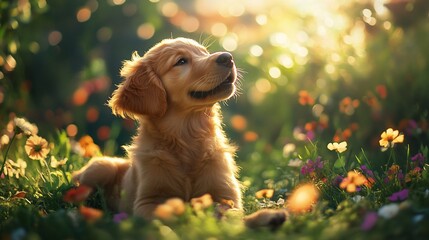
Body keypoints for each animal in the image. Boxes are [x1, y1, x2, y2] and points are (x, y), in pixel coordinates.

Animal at [73, 37, 286, 227]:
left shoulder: (227, 196)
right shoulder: (147, 202)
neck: (187, 133)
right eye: (181, 61)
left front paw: (263, 217)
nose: (228, 57)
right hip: (100, 167)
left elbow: (232, 215)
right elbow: (172, 212)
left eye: (204, 52)